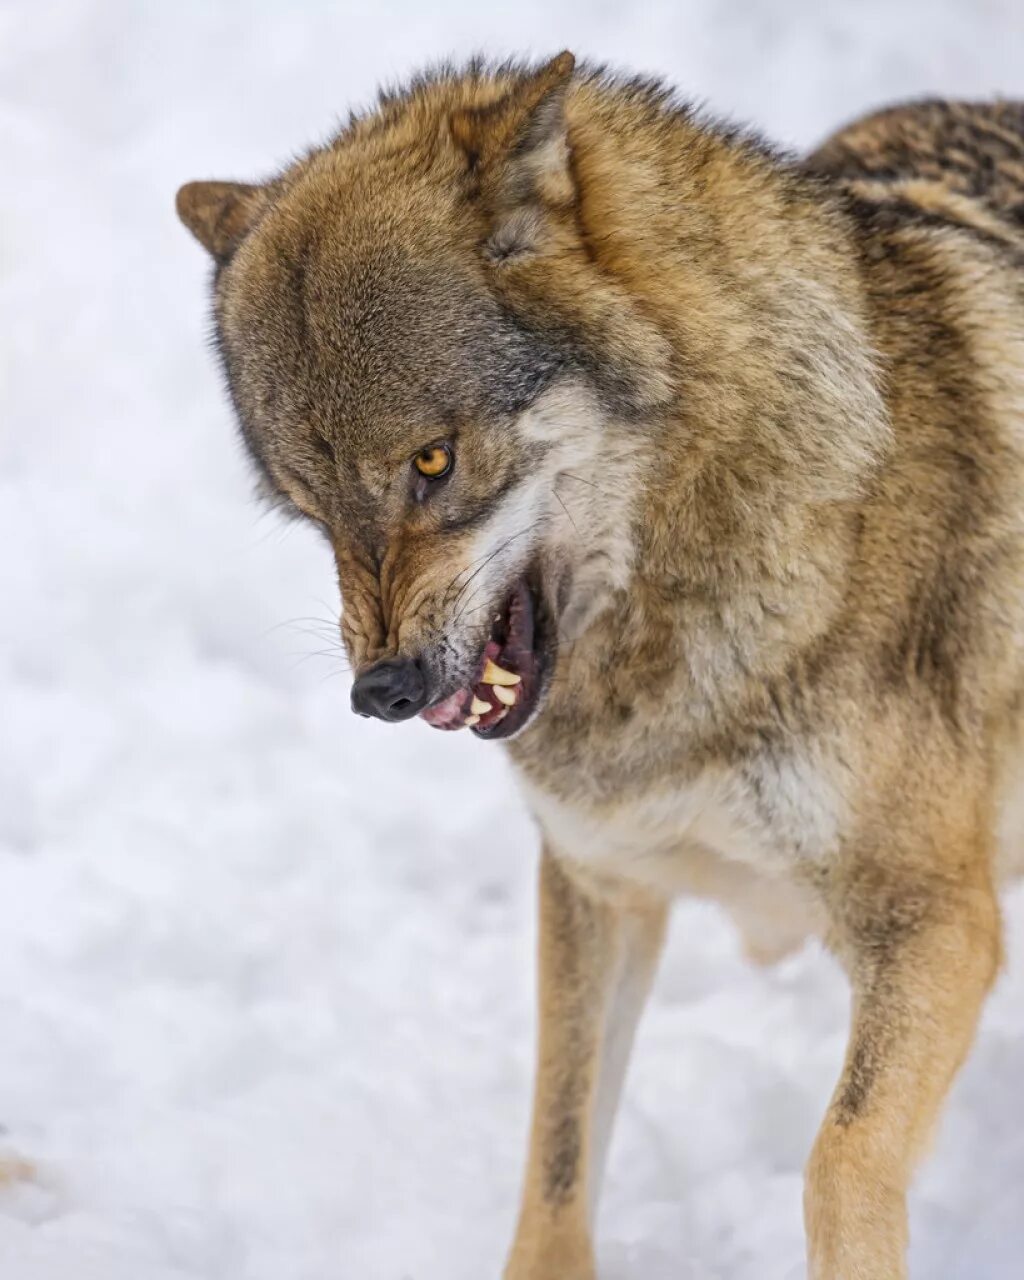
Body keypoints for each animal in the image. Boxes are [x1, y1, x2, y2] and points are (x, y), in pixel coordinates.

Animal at [176, 55, 1024, 1274]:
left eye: (432, 462)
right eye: (306, 508)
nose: (381, 692)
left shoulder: (936, 924)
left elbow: (840, 1162)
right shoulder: (597, 883)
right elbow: (556, 1160)